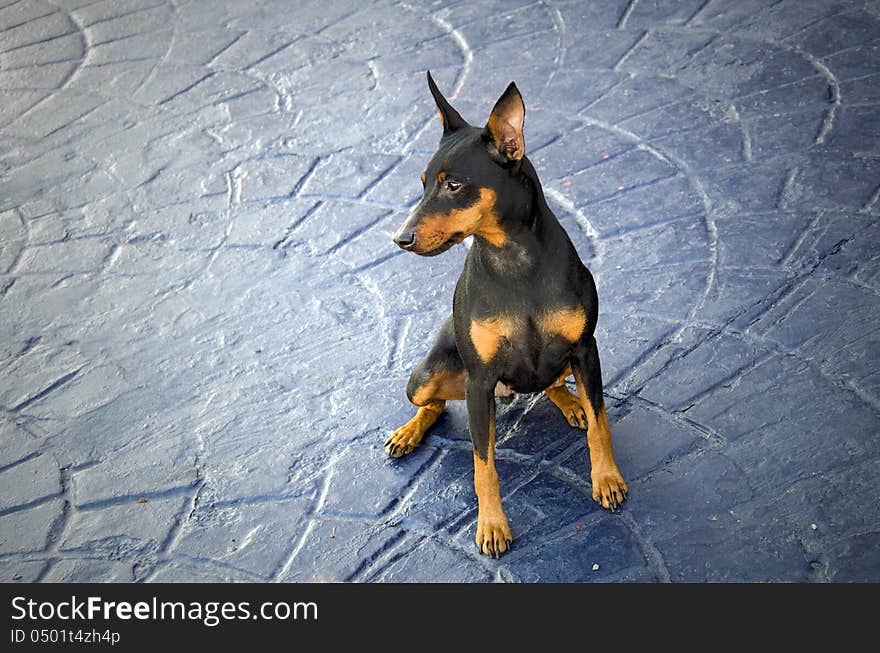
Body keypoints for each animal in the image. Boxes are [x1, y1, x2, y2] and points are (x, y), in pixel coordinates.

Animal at [384, 74, 624, 556]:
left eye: (453, 186)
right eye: (423, 183)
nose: (400, 238)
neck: (514, 261)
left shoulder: (585, 350)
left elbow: (601, 425)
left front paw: (607, 479)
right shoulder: (479, 382)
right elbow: (484, 466)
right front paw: (492, 526)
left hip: (562, 363)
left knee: (554, 384)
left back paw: (572, 404)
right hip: (426, 377)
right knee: (434, 404)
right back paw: (408, 432)